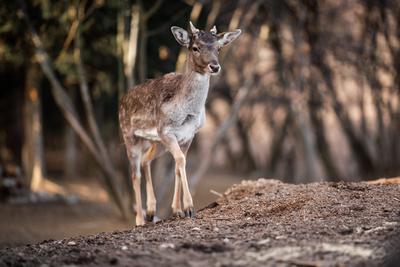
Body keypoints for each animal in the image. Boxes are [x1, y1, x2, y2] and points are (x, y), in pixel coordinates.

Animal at [119, 22, 241, 226]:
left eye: (218, 48)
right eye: (195, 47)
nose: (215, 66)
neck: (187, 112)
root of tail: (122, 100)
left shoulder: (188, 135)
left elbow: (178, 164)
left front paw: (177, 210)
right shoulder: (166, 131)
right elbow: (181, 161)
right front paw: (189, 208)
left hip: (155, 142)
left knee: (146, 161)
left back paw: (151, 211)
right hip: (130, 136)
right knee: (134, 173)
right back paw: (140, 220)